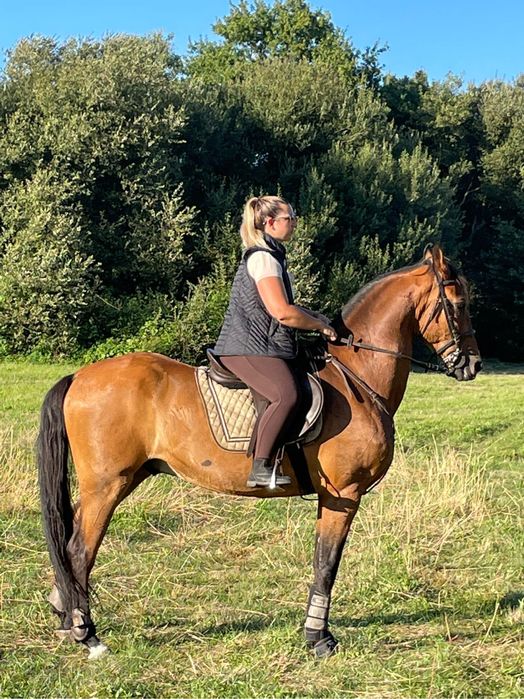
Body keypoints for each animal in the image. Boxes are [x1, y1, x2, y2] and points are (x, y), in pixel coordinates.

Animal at [37, 244, 482, 659]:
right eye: (459, 304)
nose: (472, 365)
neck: (358, 376)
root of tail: (79, 376)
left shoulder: (334, 497)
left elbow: (322, 562)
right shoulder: (344, 495)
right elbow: (327, 564)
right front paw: (319, 639)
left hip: (119, 481)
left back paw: (66, 615)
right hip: (107, 485)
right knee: (78, 551)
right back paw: (88, 634)